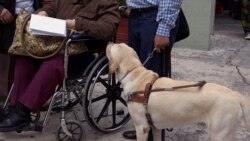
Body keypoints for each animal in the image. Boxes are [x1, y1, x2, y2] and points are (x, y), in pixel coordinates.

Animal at [106, 42, 250, 141]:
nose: (109, 42)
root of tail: (236, 95)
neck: (134, 73)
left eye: (113, 46)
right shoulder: (155, 127)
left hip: (219, 134)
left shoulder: (142, 127)